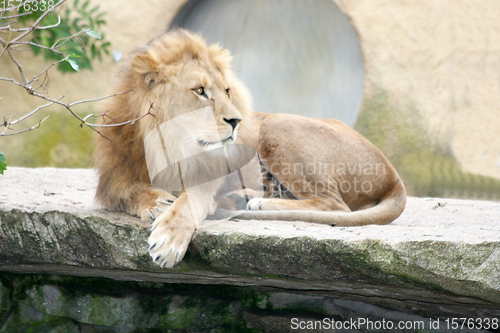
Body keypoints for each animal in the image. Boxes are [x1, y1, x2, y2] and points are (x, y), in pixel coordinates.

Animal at [94, 29, 406, 268]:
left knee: (335, 205)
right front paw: (157, 202)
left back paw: (258, 203)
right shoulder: (113, 175)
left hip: (276, 124)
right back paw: (243, 197)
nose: (236, 121)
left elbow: (190, 200)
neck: (167, 143)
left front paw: (168, 239)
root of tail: (394, 177)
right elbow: (125, 191)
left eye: (227, 90)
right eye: (200, 91)